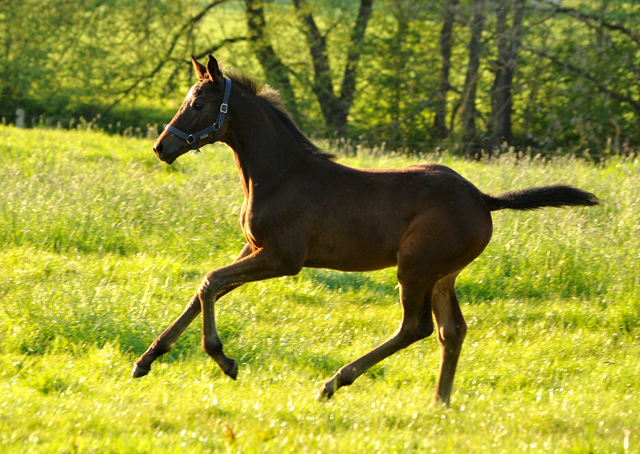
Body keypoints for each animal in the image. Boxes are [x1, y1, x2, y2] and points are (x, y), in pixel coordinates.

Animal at [132, 54, 596, 404]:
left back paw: (335, 382)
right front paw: (147, 359)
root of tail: (483, 199)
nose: (161, 147)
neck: (279, 174)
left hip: (416, 267)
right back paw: (440, 401)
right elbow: (204, 290)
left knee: (417, 327)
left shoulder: (283, 258)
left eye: (197, 105)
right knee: (451, 330)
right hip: (443, 273)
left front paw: (223, 359)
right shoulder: (254, 250)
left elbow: (210, 282)